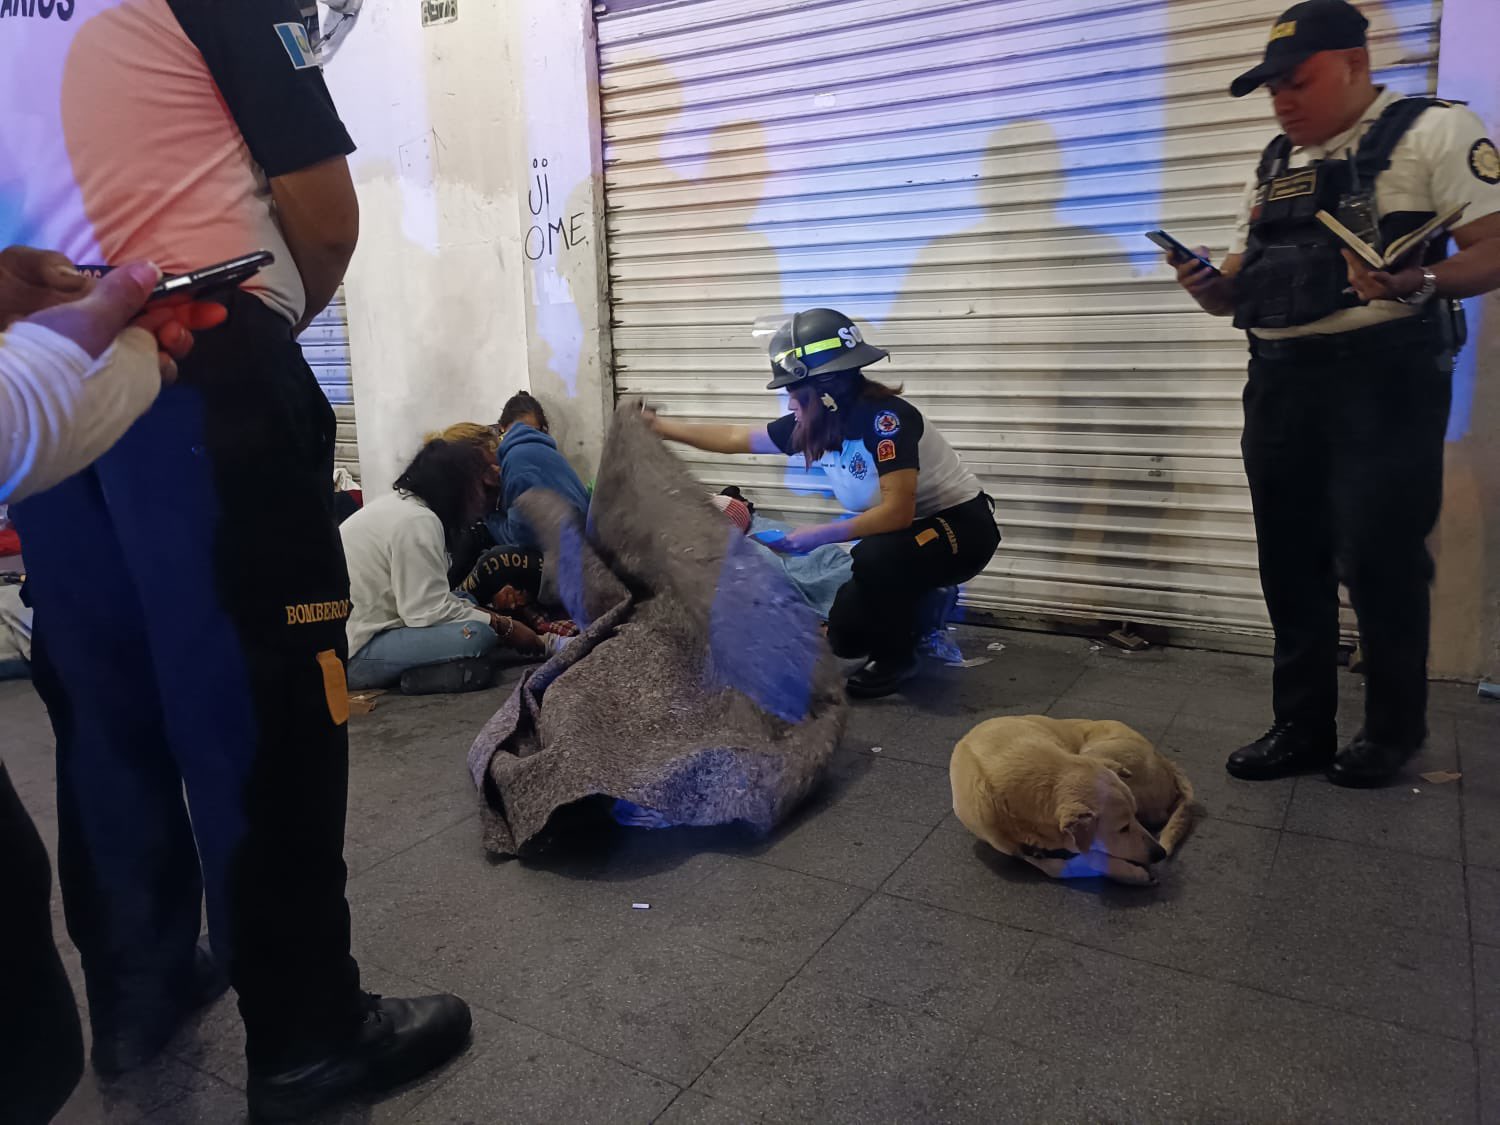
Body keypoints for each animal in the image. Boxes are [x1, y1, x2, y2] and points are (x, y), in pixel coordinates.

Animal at [954, 717, 1200, 888]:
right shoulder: (1016, 848)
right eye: (1122, 828)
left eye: (1133, 816)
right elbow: (1060, 865)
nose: (1160, 853)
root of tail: (1168, 763)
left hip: (1097, 750)